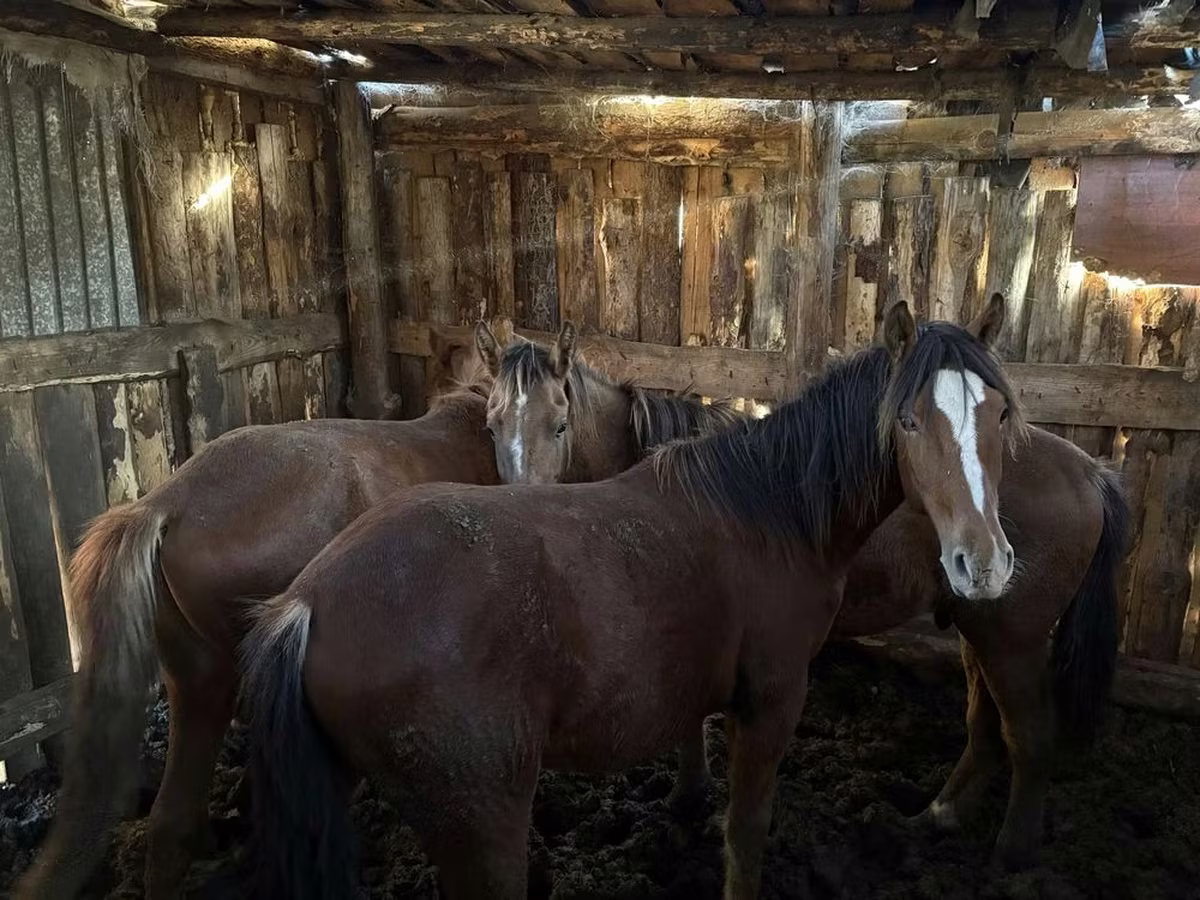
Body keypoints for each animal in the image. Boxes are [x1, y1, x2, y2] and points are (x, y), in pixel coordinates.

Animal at [13, 327, 744, 900]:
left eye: (558, 424)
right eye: (496, 427)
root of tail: (164, 504)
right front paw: (691, 792)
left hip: (198, 689)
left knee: (172, 828)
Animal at [240, 298, 1021, 900]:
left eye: (1000, 415)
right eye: (909, 420)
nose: (981, 561)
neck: (768, 511)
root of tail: (306, 603)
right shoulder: (771, 701)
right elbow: (745, 832)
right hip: (481, 821)